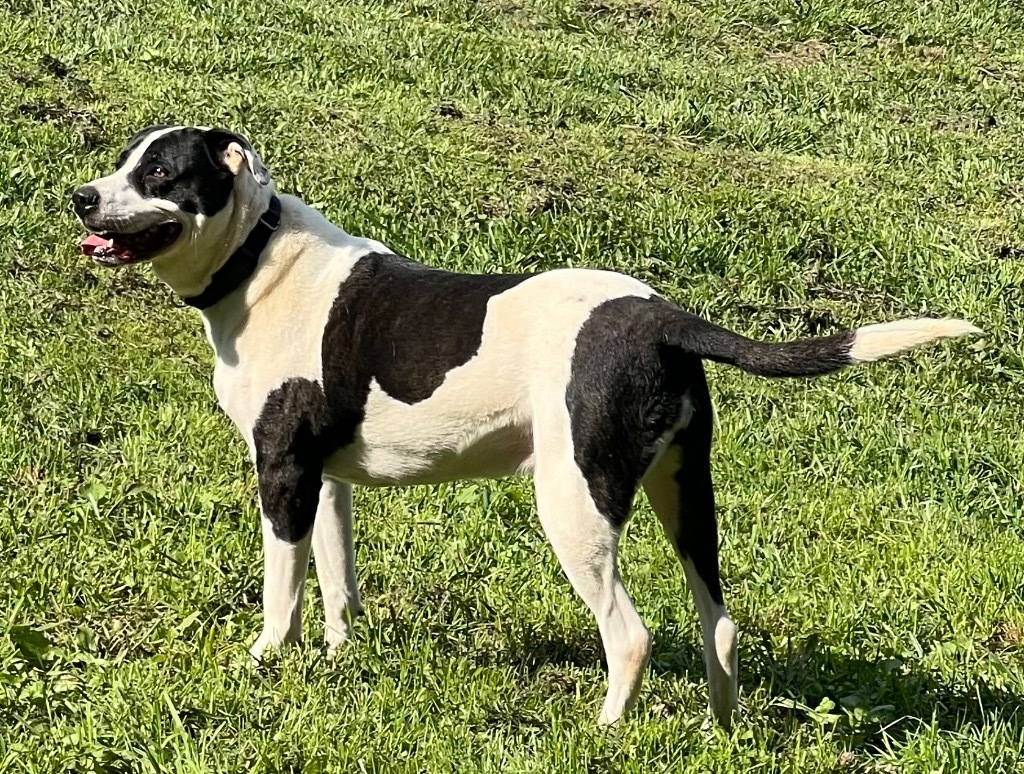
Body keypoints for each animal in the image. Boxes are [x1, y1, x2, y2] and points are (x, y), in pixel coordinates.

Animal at [74, 125, 983, 724]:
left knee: (631, 635)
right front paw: (339, 656)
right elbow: (336, 584)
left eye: (160, 172)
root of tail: (660, 316)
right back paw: (719, 728)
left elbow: (282, 589)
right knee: (718, 622)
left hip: (575, 503)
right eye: (121, 160)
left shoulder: (283, 472)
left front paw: (269, 658)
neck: (257, 256)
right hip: (686, 498)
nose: (81, 196)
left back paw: (608, 730)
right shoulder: (326, 481)